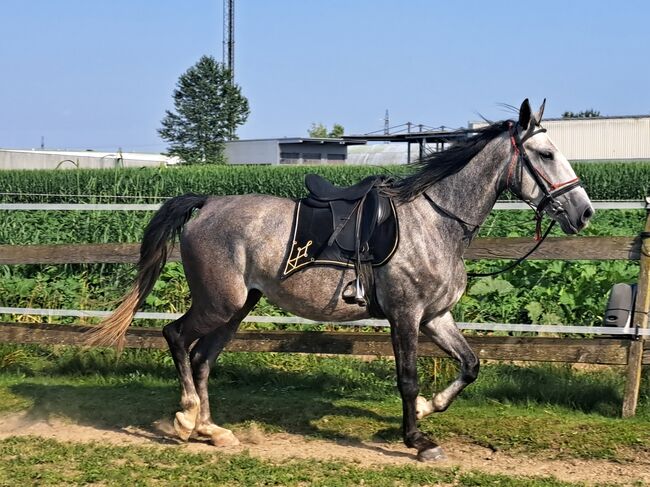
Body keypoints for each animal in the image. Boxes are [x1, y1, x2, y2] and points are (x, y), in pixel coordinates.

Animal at [87, 99, 592, 462]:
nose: (583, 212)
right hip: (219, 303)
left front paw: (427, 410)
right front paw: (418, 440)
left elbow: (470, 365)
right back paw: (188, 417)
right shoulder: (406, 316)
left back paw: (213, 431)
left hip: (238, 307)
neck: (435, 221)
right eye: (546, 154)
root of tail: (207, 204)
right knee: (175, 337)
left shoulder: (436, 316)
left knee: (202, 358)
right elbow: (407, 378)